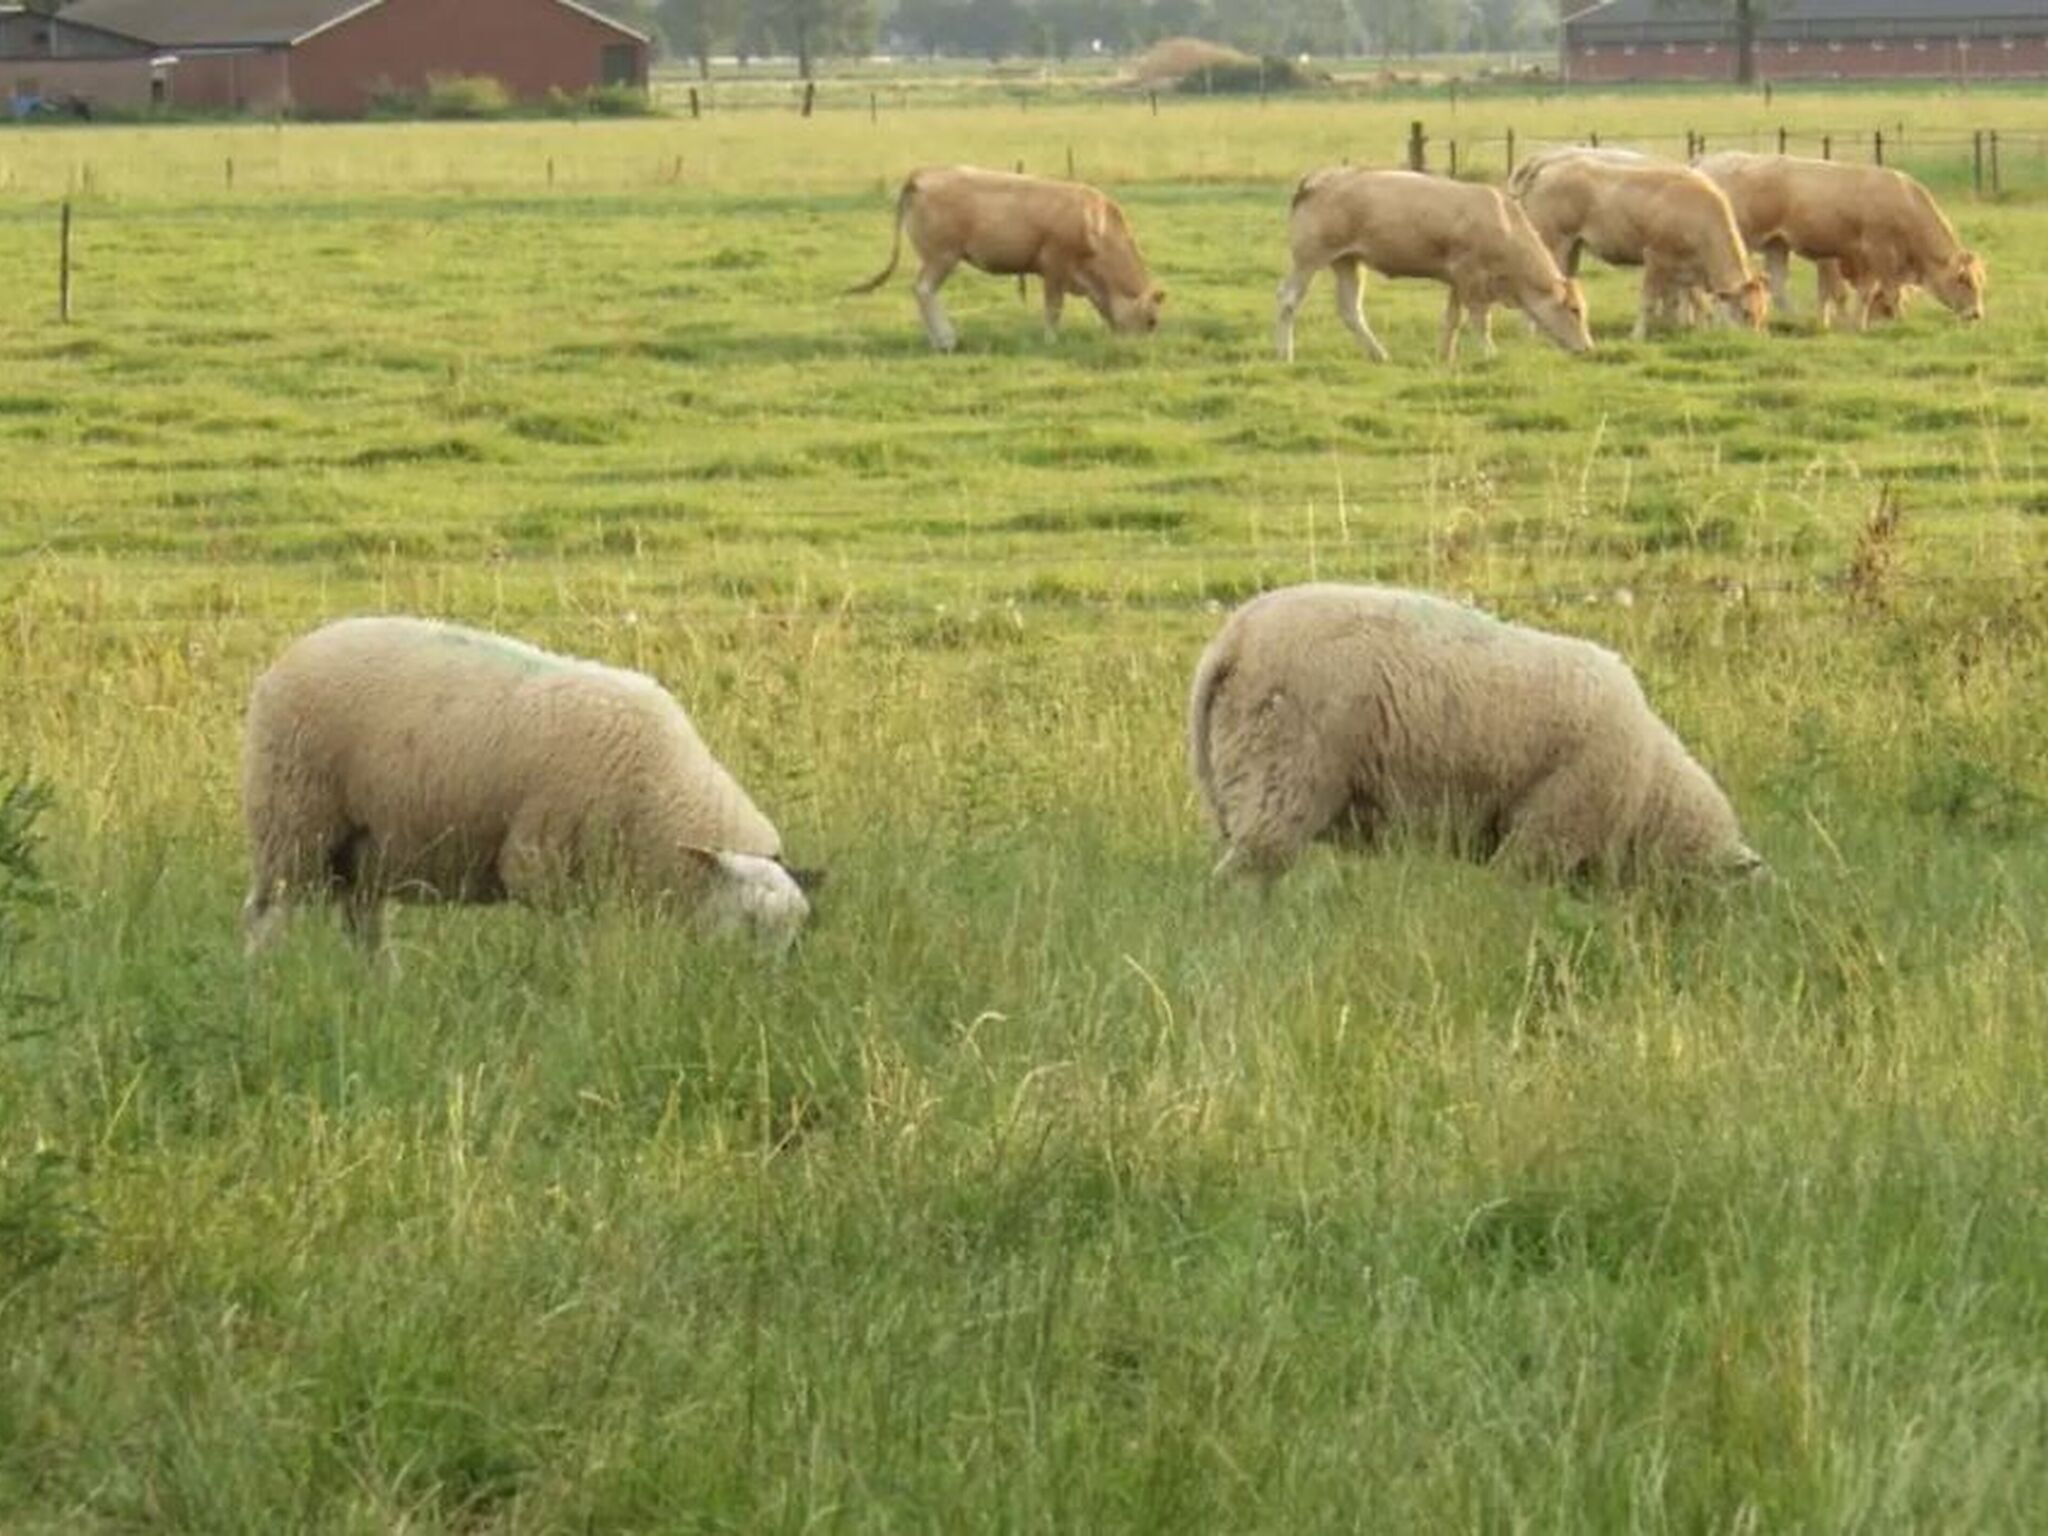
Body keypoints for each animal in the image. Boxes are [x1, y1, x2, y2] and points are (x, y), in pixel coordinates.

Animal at [241, 616, 815, 956]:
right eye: (749, 921)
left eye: (792, 937)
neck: (663, 792)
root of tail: (285, 659)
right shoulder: (541, 862)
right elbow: (576, 937)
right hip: (292, 820)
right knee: (264, 917)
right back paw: (262, 987)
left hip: (365, 847)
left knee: (364, 926)